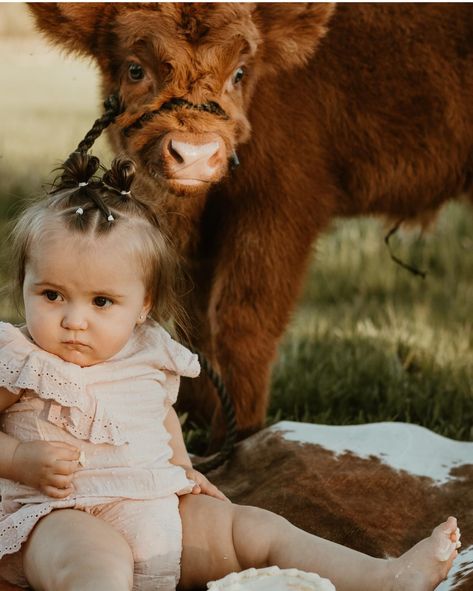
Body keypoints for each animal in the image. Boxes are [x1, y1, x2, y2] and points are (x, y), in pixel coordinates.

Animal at [28, 3, 472, 440]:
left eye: (239, 73)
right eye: (135, 69)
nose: (193, 153)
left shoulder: (278, 207)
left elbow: (243, 322)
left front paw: (240, 431)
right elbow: (195, 324)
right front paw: (191, 417)